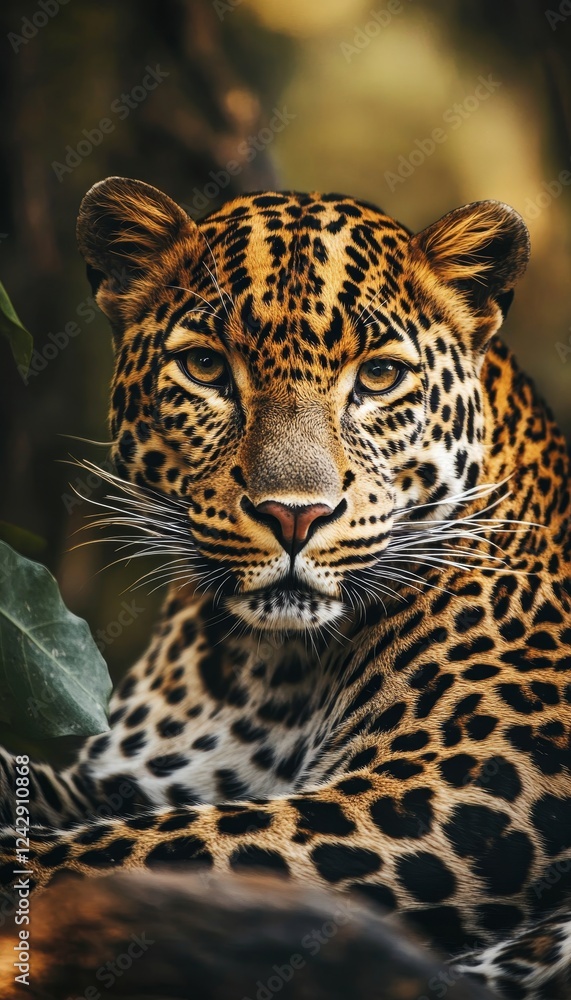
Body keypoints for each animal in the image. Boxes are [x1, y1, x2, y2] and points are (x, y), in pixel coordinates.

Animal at [1, 177, 571, 1000]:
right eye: (207, 369)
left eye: (379, 377)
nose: (292, 514)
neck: (268, 665)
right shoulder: (132, 775)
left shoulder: (457, 790)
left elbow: (149, 848)